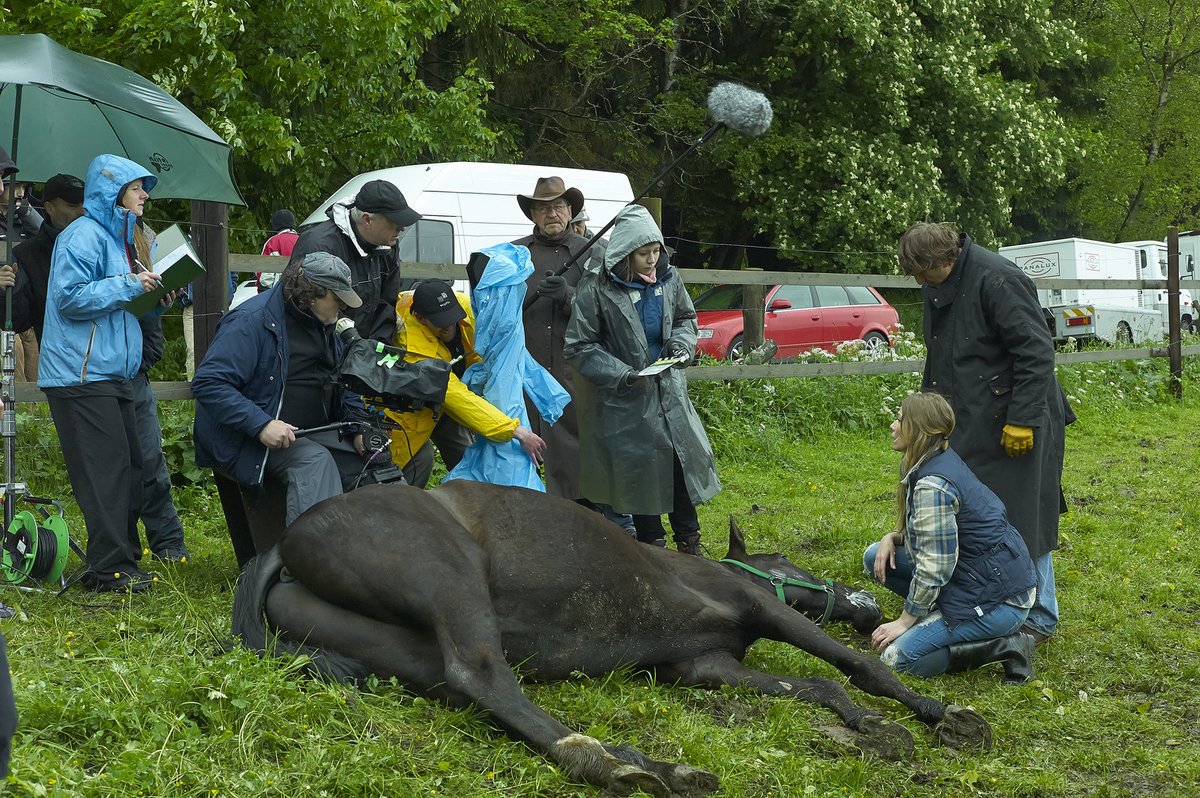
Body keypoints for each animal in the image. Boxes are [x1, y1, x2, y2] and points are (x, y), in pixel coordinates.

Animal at [229, 475, 988, 792]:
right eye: (794, 568)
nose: (863, 606)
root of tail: (284, 548)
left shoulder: (708, 668)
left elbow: (812, 687)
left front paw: (870, 722)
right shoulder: (765, 610)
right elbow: (853, 669)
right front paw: (934, 715)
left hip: (403, 648)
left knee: (474, 690)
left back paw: (649, 765)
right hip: (446, 578)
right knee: (482, 675)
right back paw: (611, 763)